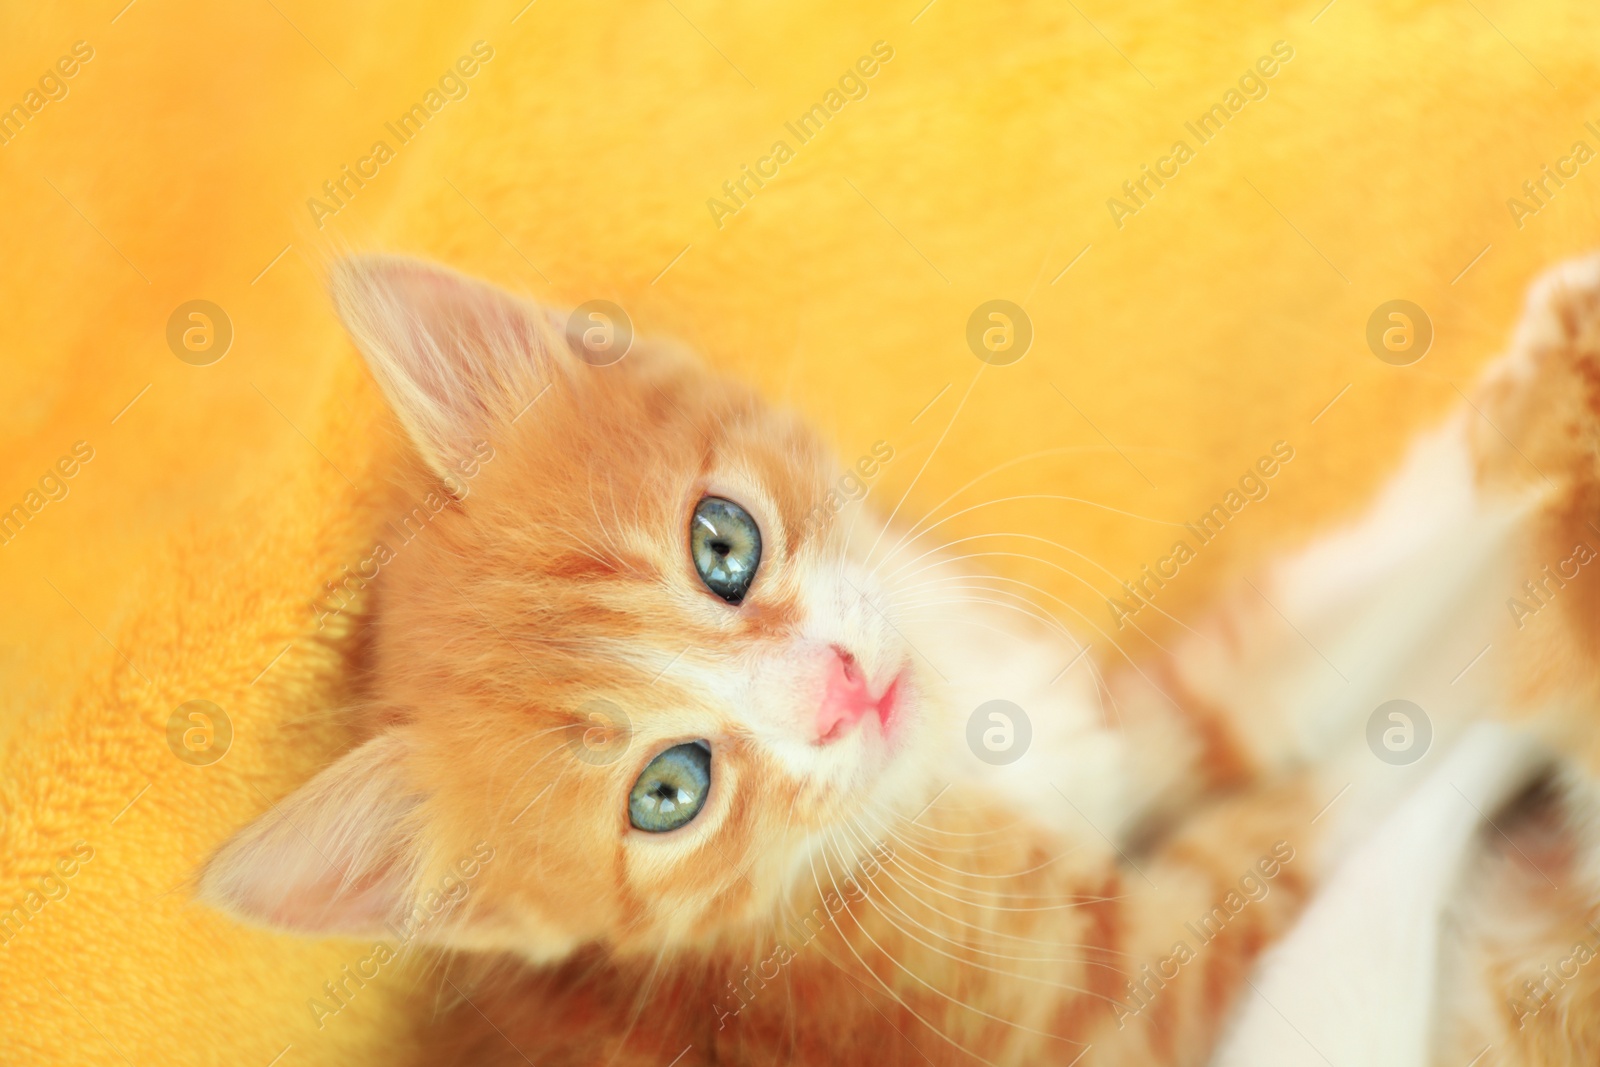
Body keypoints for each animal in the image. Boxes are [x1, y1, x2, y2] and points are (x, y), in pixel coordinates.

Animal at [200, 254, 1600, 1062]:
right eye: (670, 790)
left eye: (722, 543)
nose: (838, 689)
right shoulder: (1097, 1016)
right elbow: (1368, 775)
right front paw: (1537, 669)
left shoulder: (1114, 733)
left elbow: (1271, 676)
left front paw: (1547, 401)